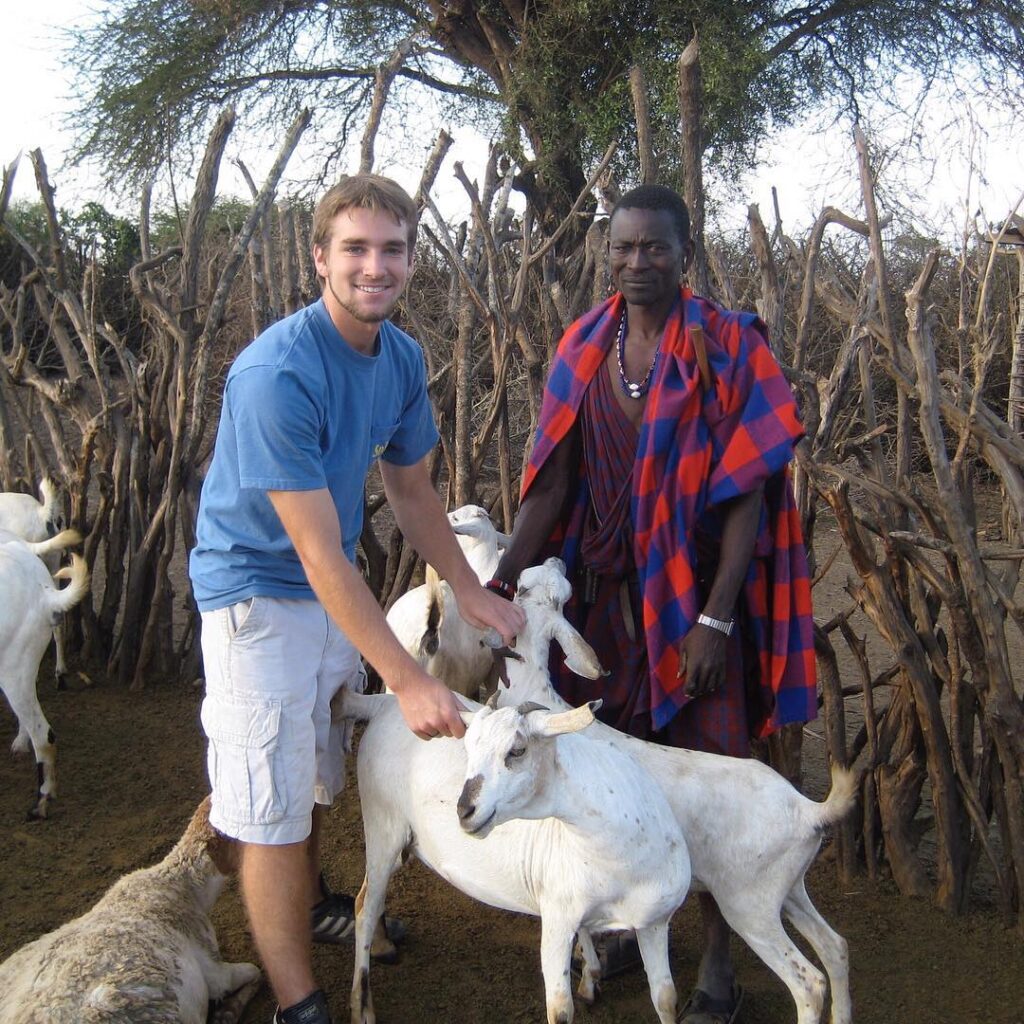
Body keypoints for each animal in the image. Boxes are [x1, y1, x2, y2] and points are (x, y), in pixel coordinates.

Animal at [339, 688, 692, 1024]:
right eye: (468, 747)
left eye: (517, 750)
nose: (464, 811)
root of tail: (384, 704)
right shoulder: (557, 920)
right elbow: (560, 1010)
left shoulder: (654, 922)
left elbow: (666, 1000)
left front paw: (592, 976)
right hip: (381, 824)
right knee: (364, 907)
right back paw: (361, 1007)